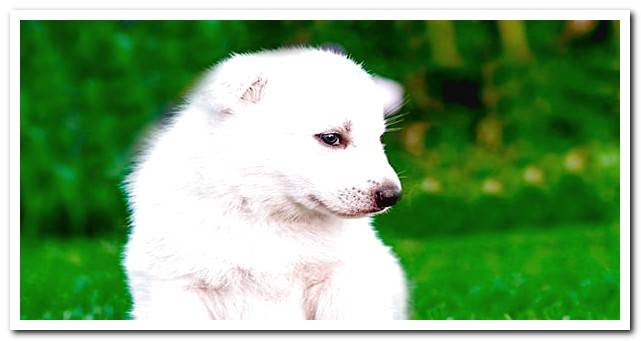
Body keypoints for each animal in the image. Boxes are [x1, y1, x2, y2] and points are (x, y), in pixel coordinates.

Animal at [122, 45, 408, 318]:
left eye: (379, 138)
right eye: (331, 138)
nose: (391, 195)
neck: (265, 213)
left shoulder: (343, 281)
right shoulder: (175, 285)